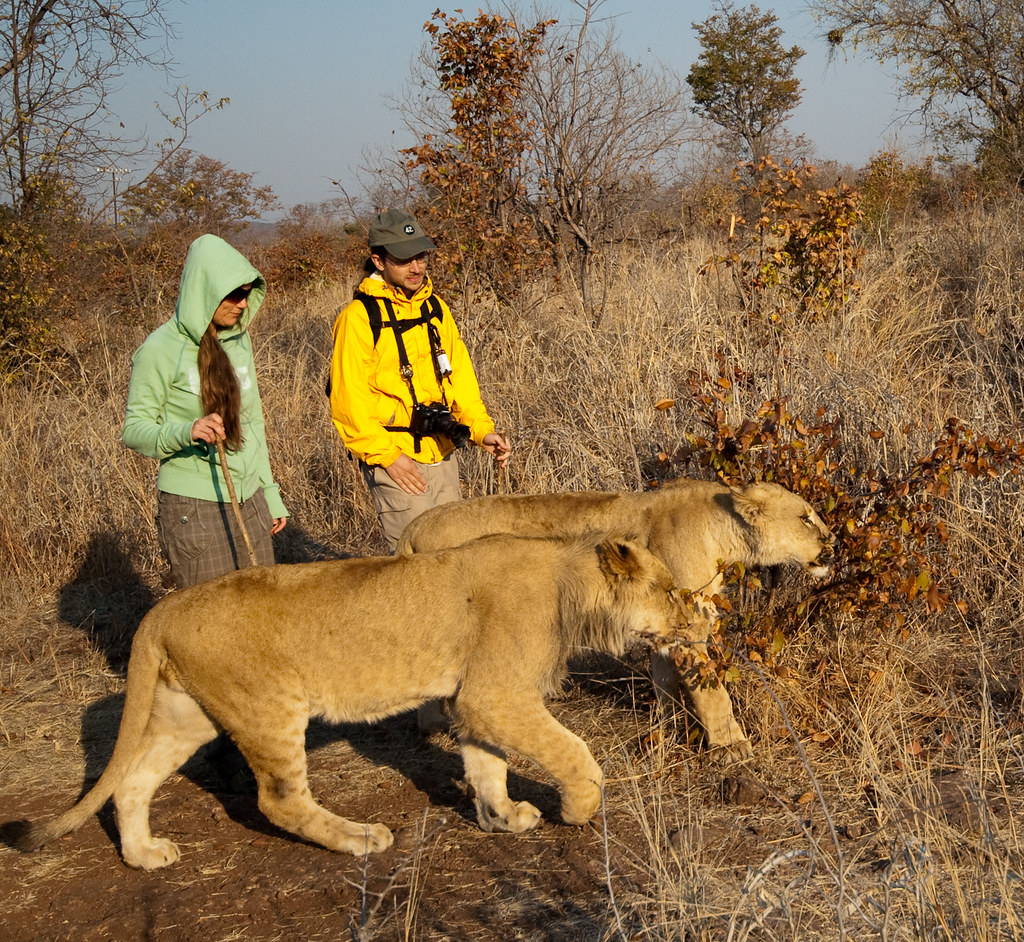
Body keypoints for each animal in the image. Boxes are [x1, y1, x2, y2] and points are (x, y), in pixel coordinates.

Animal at [4, 536, 692, 868]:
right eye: (667, 590)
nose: (698, 619)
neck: (569, 587)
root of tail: (163, 609)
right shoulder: (495, 693)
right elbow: (572, 752)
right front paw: (577, 809)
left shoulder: (471, 699)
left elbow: (486, 766)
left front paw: (502, 818)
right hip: (270, 707)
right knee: (278, 800)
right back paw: (362, 838)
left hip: (186, 715)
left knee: (131, 782)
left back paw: (145, 856)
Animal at [395, 481, 835, 761]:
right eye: (805, 518)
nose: (832, 543)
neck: (722, 530)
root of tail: (412, 527)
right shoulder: (690, 627)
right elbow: (713, 693)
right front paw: (731, 747)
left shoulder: (666, 621)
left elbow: (664, 680)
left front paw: (666, 728)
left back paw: (432, 727)